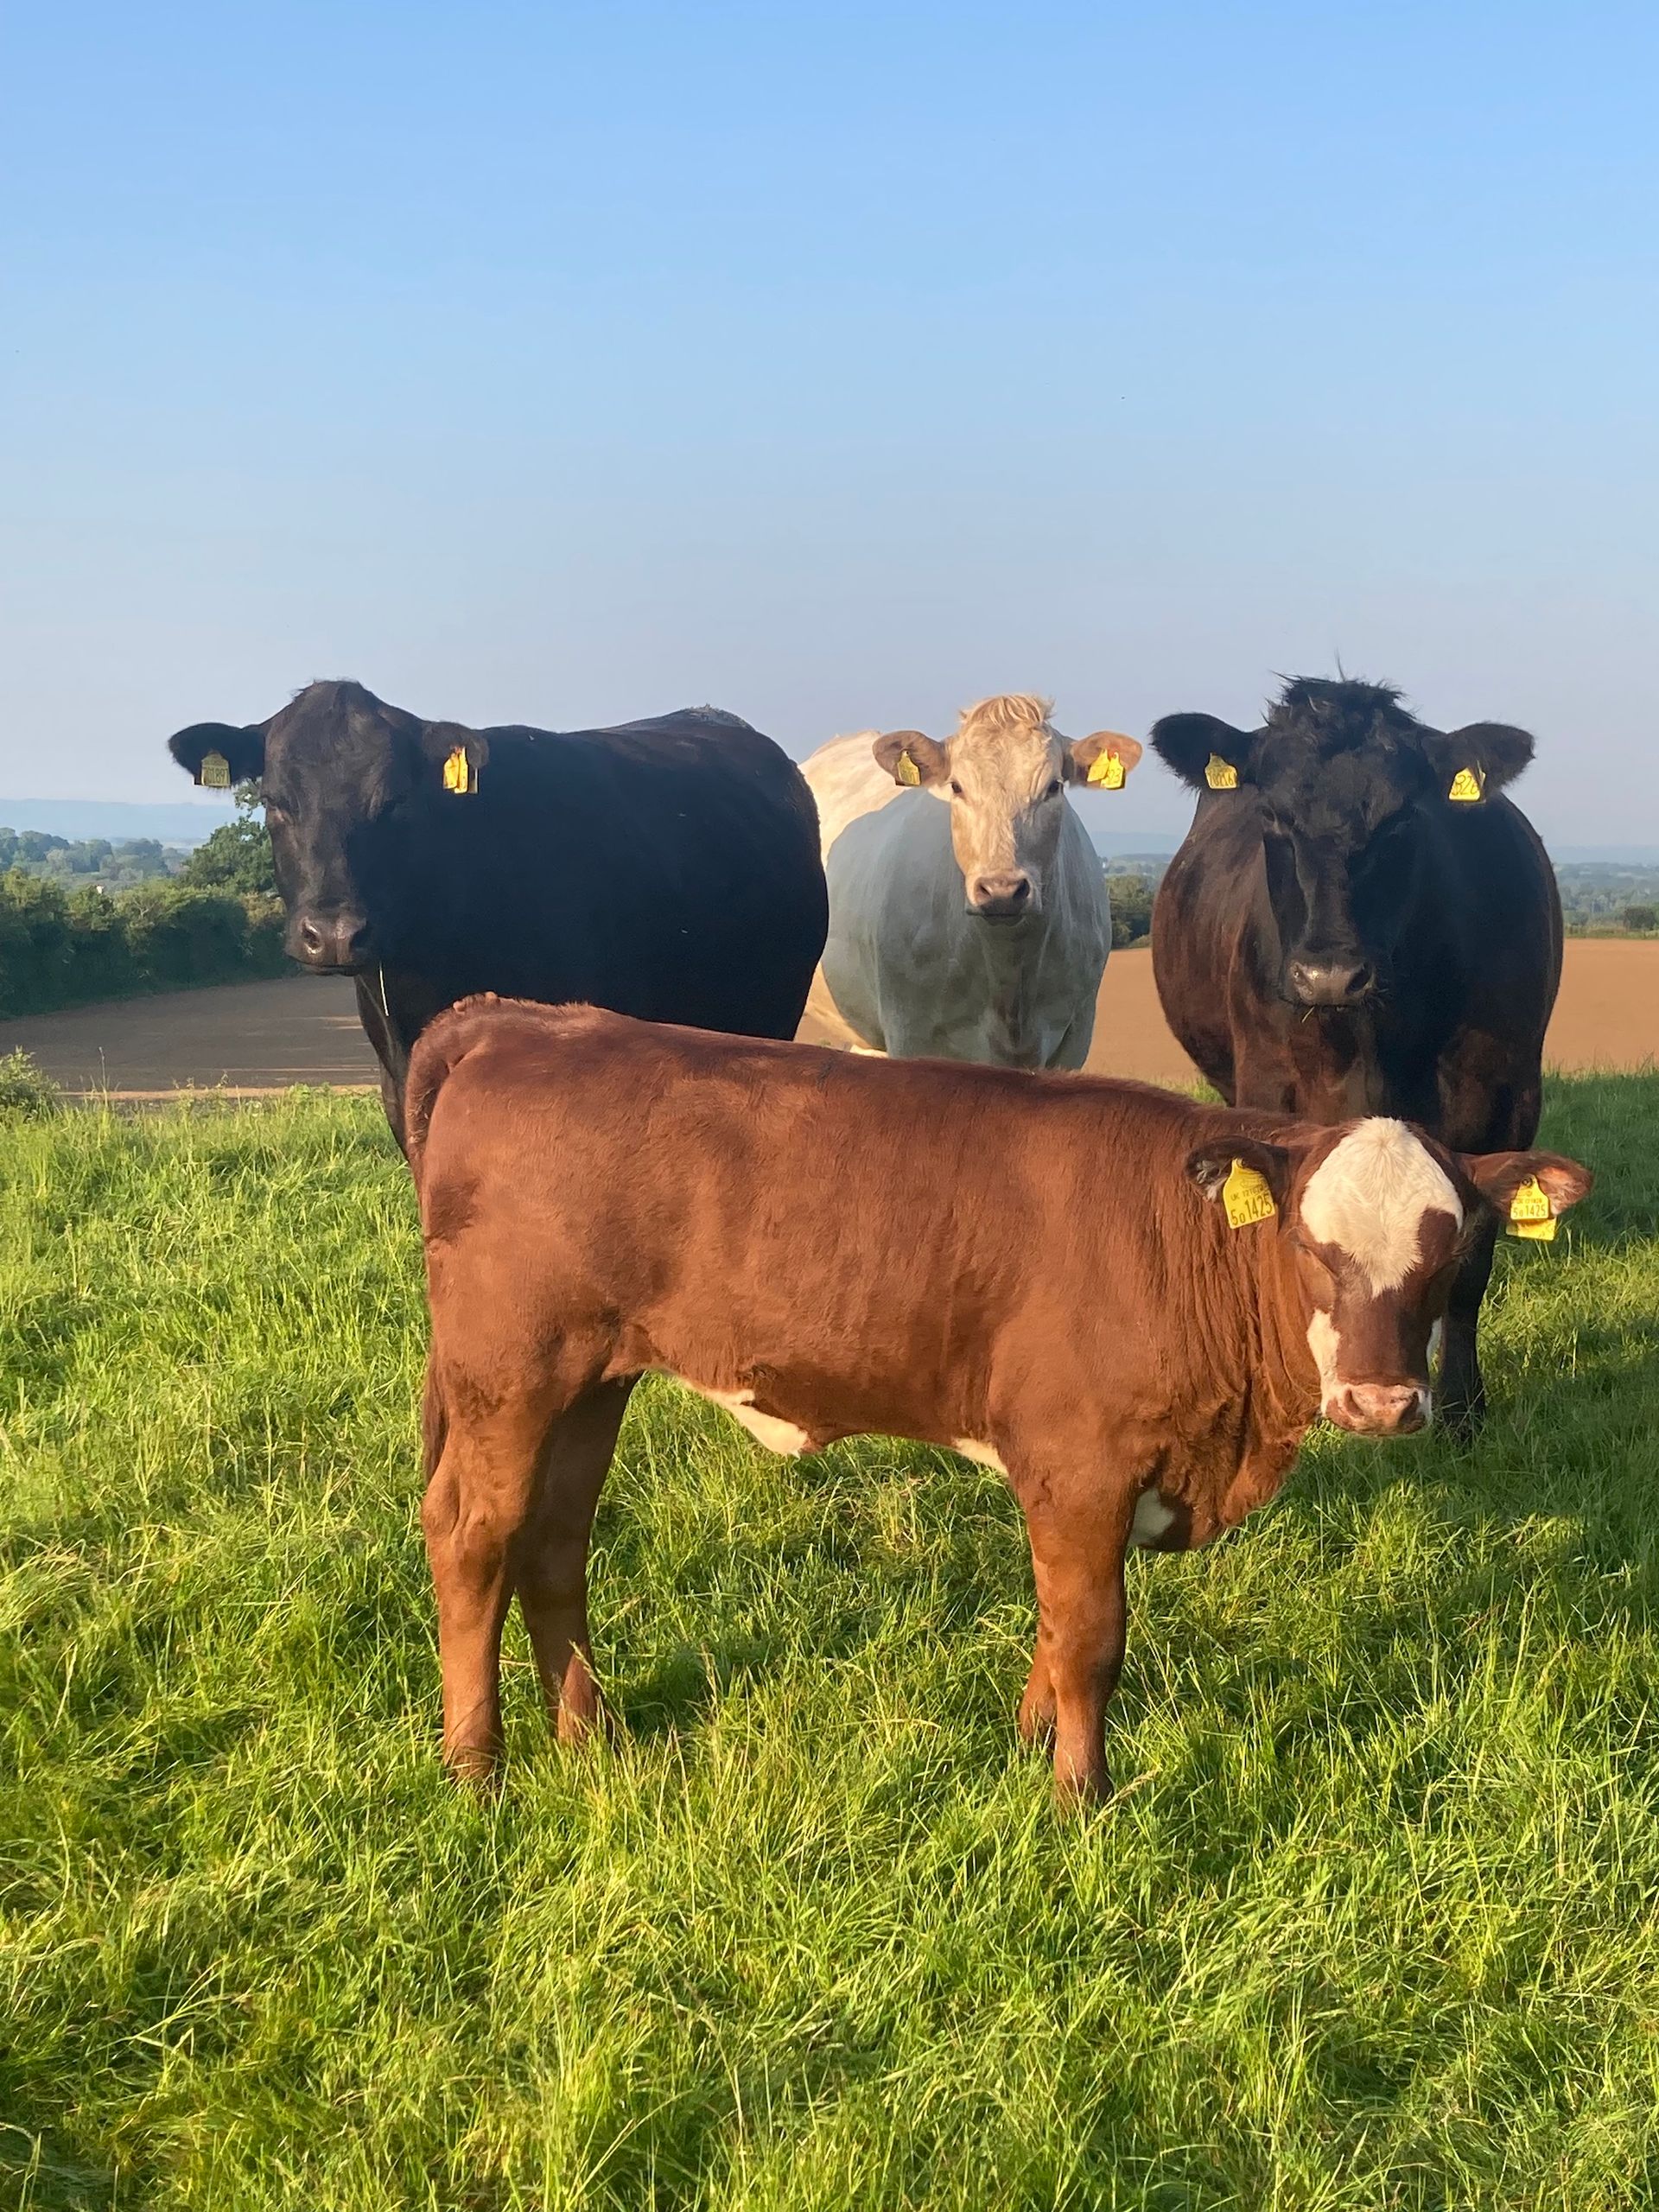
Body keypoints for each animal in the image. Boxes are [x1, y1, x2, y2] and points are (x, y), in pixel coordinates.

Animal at [405, 997, 1590, 1802]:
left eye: (1454, 1248)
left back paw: (591, 1737)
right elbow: (1093, 1637)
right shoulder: (1082, 1460)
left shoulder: (1071, 1476)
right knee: (472, 1533)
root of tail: (524, 1019)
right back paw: (474, 1767)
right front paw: (1081, 1796)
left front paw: (1029, 1748)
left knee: (554, 1539)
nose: (1383, 1402)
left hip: (591, 1378)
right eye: (1309, 1243)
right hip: (509, 1369)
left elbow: (1056, 1620)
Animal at [1150, 676, 1564, 1432]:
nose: (1328, 975)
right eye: (1272, 815)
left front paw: (1461, 1408)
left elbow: (1470, 1265)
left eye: (1401, 820)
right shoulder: (1268, 1088)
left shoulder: (1506, 1097)